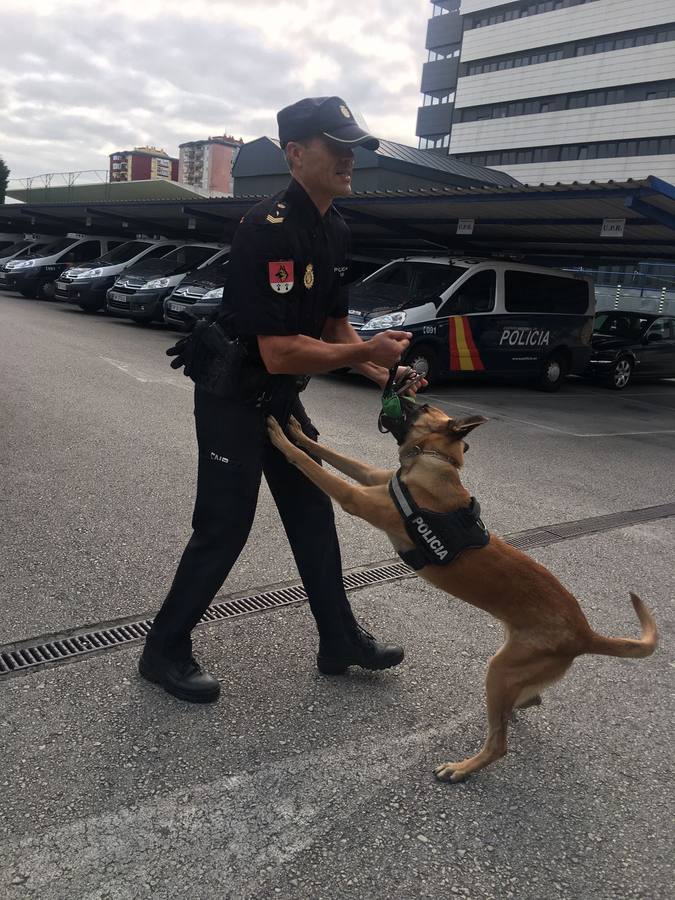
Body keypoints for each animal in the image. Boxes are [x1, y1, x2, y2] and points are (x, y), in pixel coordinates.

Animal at [266, 404, 656, 784]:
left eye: (420, 404)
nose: (398, 388)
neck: (436, 461)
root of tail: (585, 632)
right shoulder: (372, 476)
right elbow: (333, 455)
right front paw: (298, 432)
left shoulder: (355, 497)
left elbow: (310, 466)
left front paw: (281, 440)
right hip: (513, 669)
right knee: (529, 701)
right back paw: (517, 708)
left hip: (500, 669)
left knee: (499, 744)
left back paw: (462, 768)